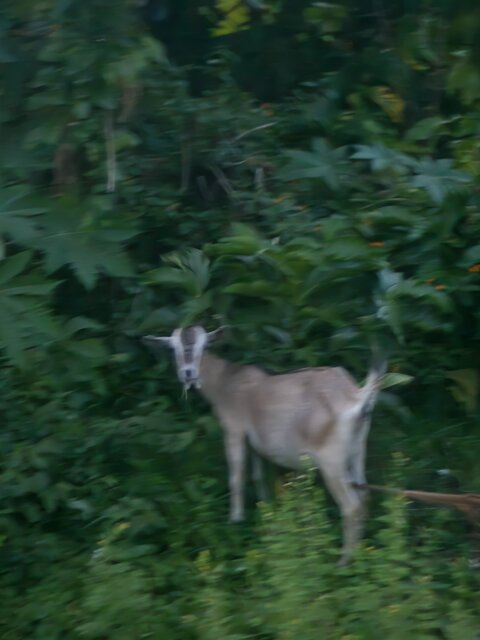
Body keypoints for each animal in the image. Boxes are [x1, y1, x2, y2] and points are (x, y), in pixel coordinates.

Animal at [143, 326, 385, 565]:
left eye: (204, 346)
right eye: (172, 348)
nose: (188, 373)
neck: (224, 381)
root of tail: (356, 397)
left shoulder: (234, 430)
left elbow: (236, 476)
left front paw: (236, 520)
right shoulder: (256, 445)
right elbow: (257, 476)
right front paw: (267, 512)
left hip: (330, 459)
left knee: (351, 506)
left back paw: (344, 562)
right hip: (357, 449)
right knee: (364, 496)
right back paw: (359, 553)